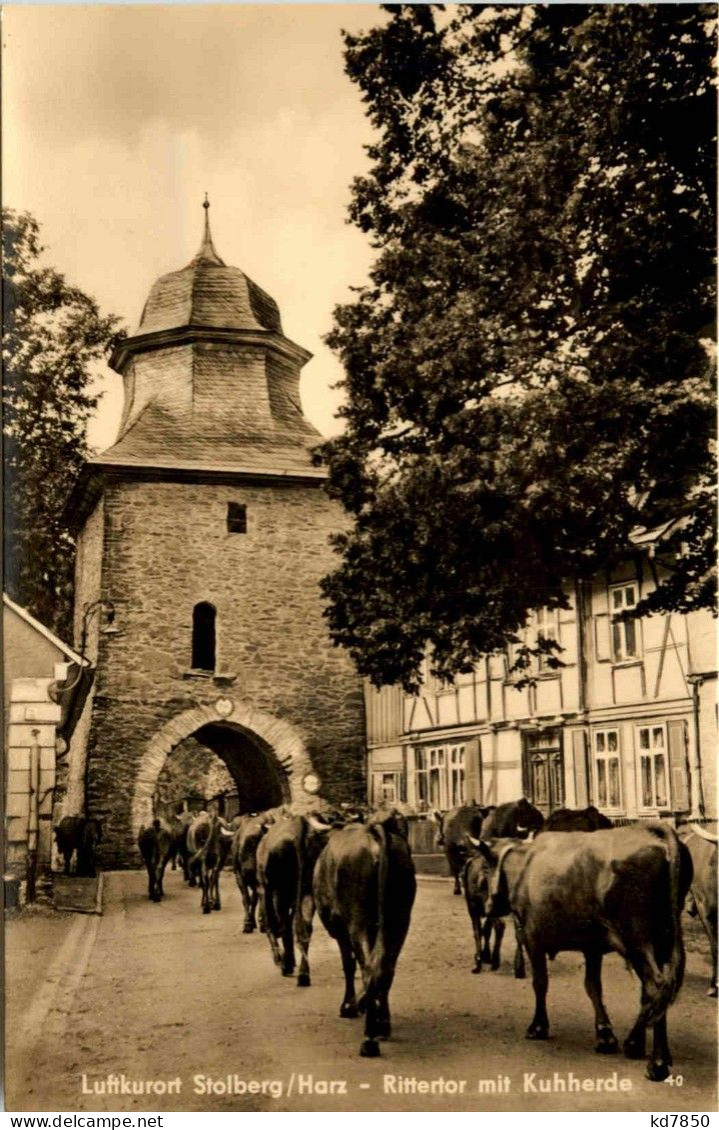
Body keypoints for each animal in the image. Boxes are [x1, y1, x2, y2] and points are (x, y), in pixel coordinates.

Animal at [314, 809, 416, 1053]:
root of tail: (374, 832)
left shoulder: (340, 930)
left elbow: (349, 964)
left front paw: (349, 1005)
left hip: (358, 922)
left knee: (370, 968)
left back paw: (369, 1037)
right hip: (398, 921)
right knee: (385, 968)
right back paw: (383, 1024)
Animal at [474, 827, 691, 1080]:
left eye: (485, 867)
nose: (487, 907)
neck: (523, 863)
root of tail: (653, 832)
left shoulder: (531, 938)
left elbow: (540, 983)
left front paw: (538, 1026)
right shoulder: (592, 947)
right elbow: (593, 987)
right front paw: (605, 1035)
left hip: (638, 939)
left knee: (656, 985)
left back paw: (654, 1062)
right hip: (660, 941)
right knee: (656, 994)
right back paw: (647, 1048)